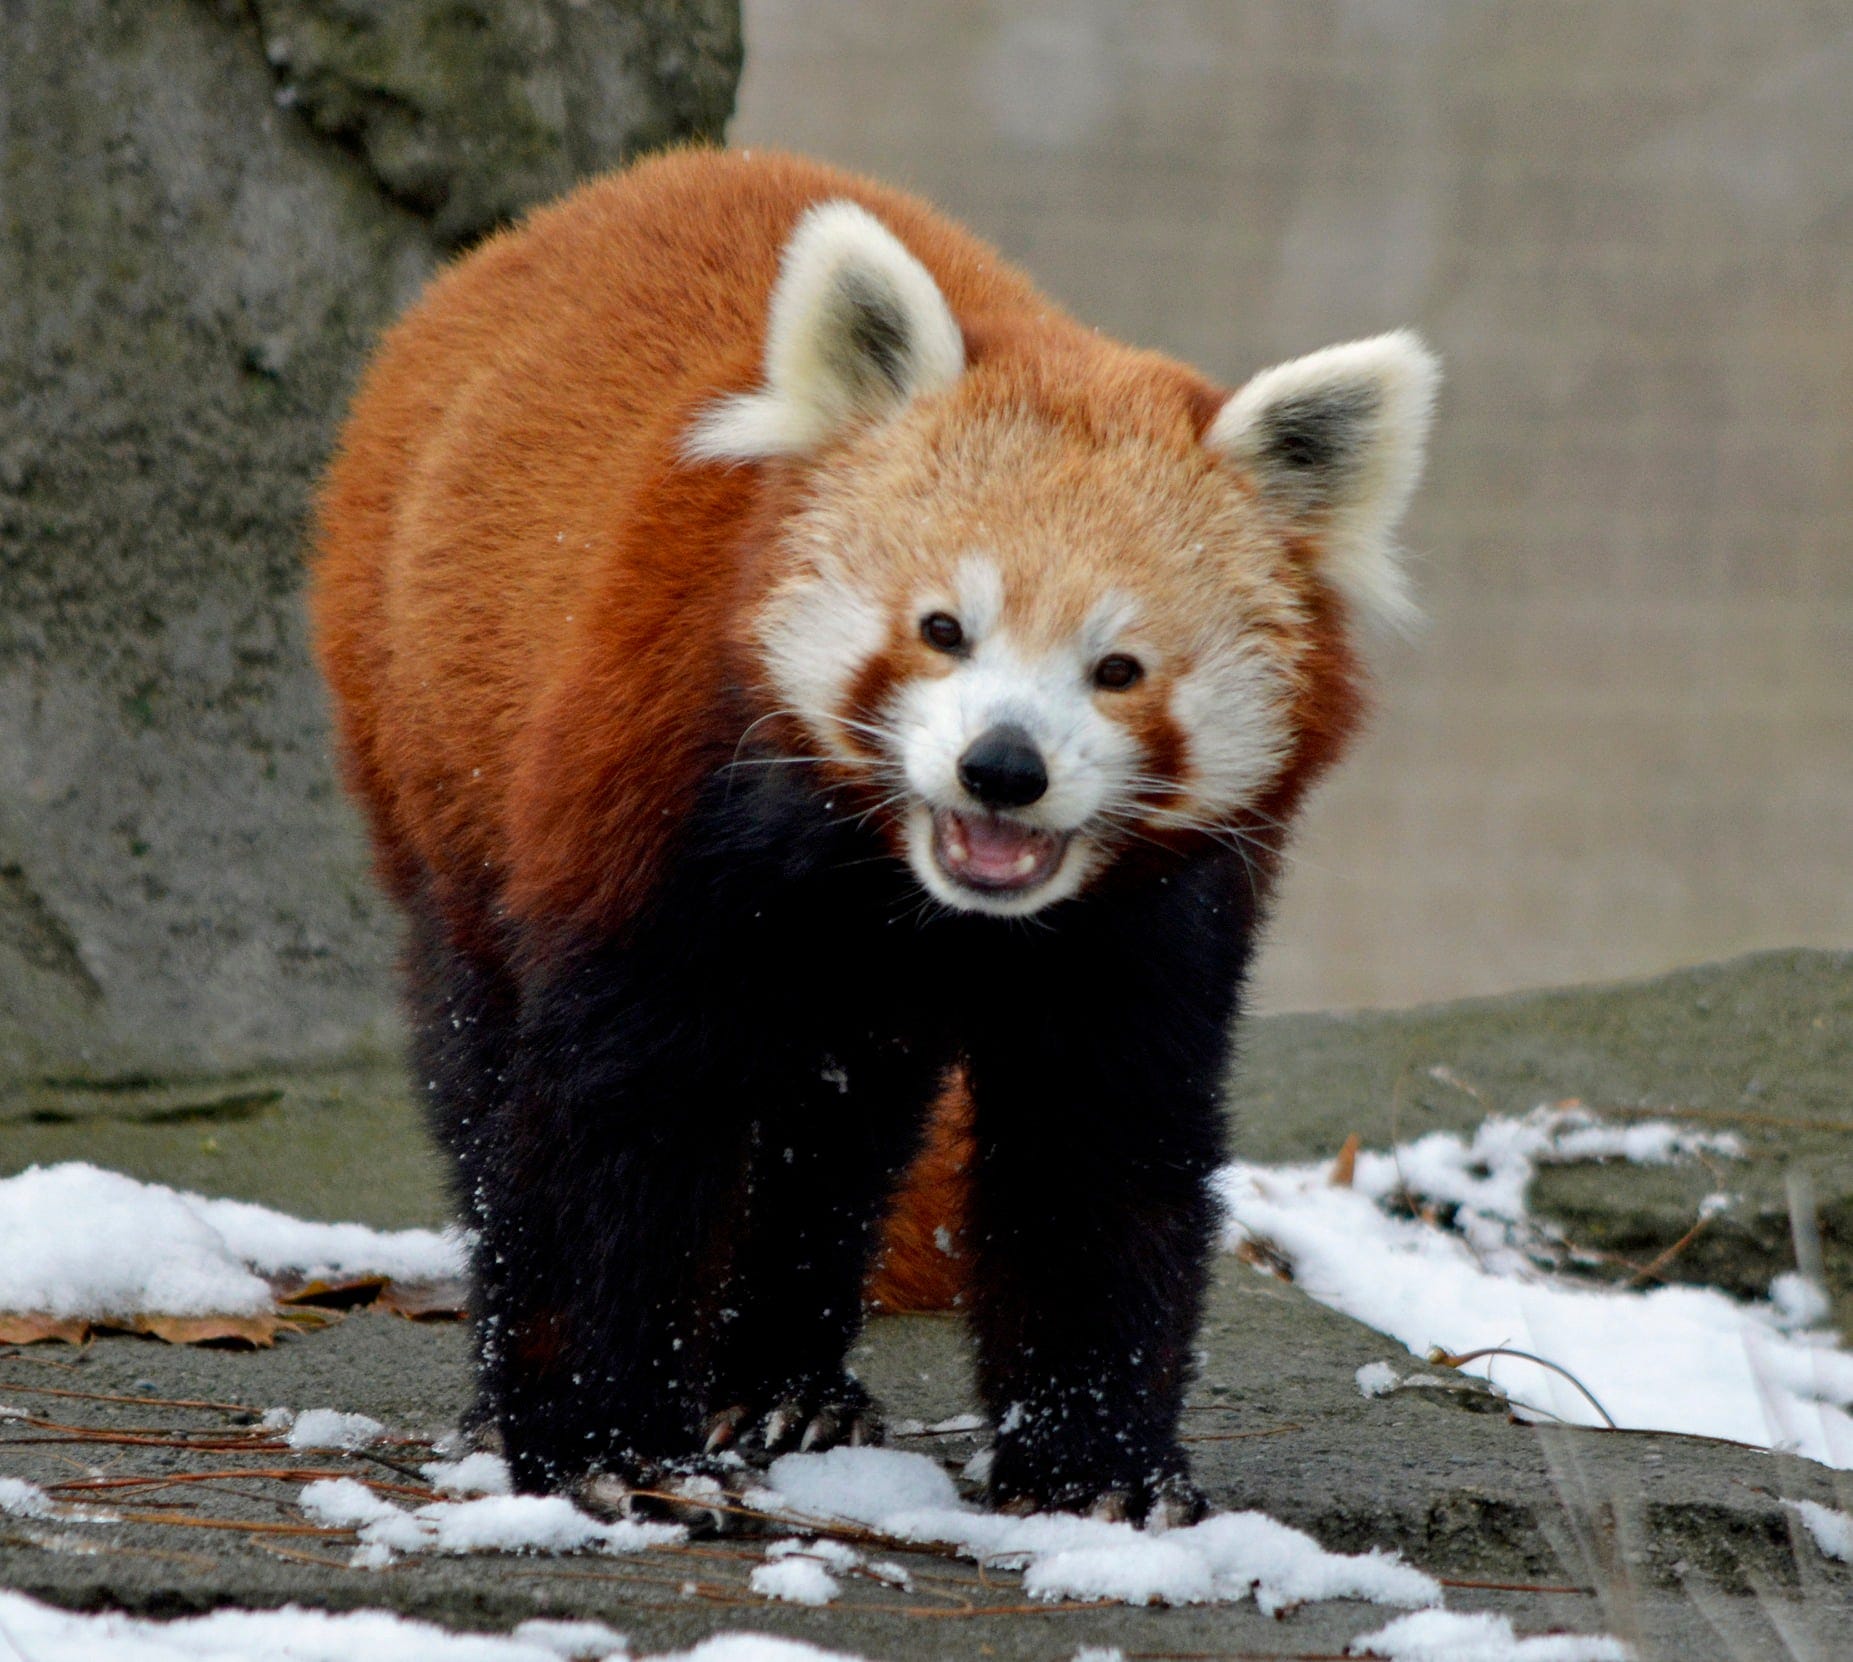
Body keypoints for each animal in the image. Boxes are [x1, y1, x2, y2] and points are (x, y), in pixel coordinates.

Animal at [311, 149, 1437, 1526]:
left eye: (1116, 669)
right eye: (943, 629)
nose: (1001, 769)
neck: (903, 886)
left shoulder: (1152, 918)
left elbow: (1099, 1146)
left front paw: (1097, 1472)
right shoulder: (656, 799)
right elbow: (620, 1108)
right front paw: (602, 1444)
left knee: (837, 1138)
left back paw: (786, 1386)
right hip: (426, 746)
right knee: (483, 1061)